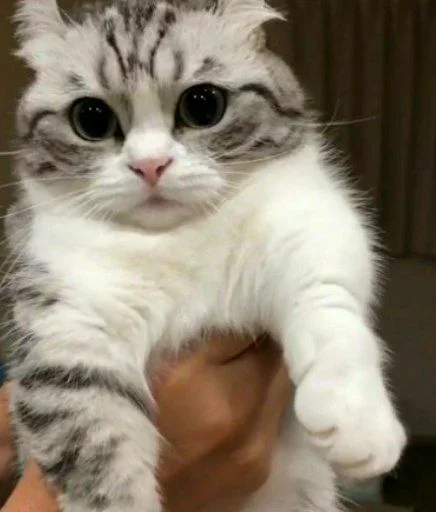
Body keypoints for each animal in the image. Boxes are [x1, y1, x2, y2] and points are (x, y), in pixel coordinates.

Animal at [4, 1, 406, 511]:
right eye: (91, 118)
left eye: (202, 105)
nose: (150, 165)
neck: (175, 238)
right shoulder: (70, 336)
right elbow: (99, 457)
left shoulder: (310, 226)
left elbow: (328, 308)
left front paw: (356, 420)